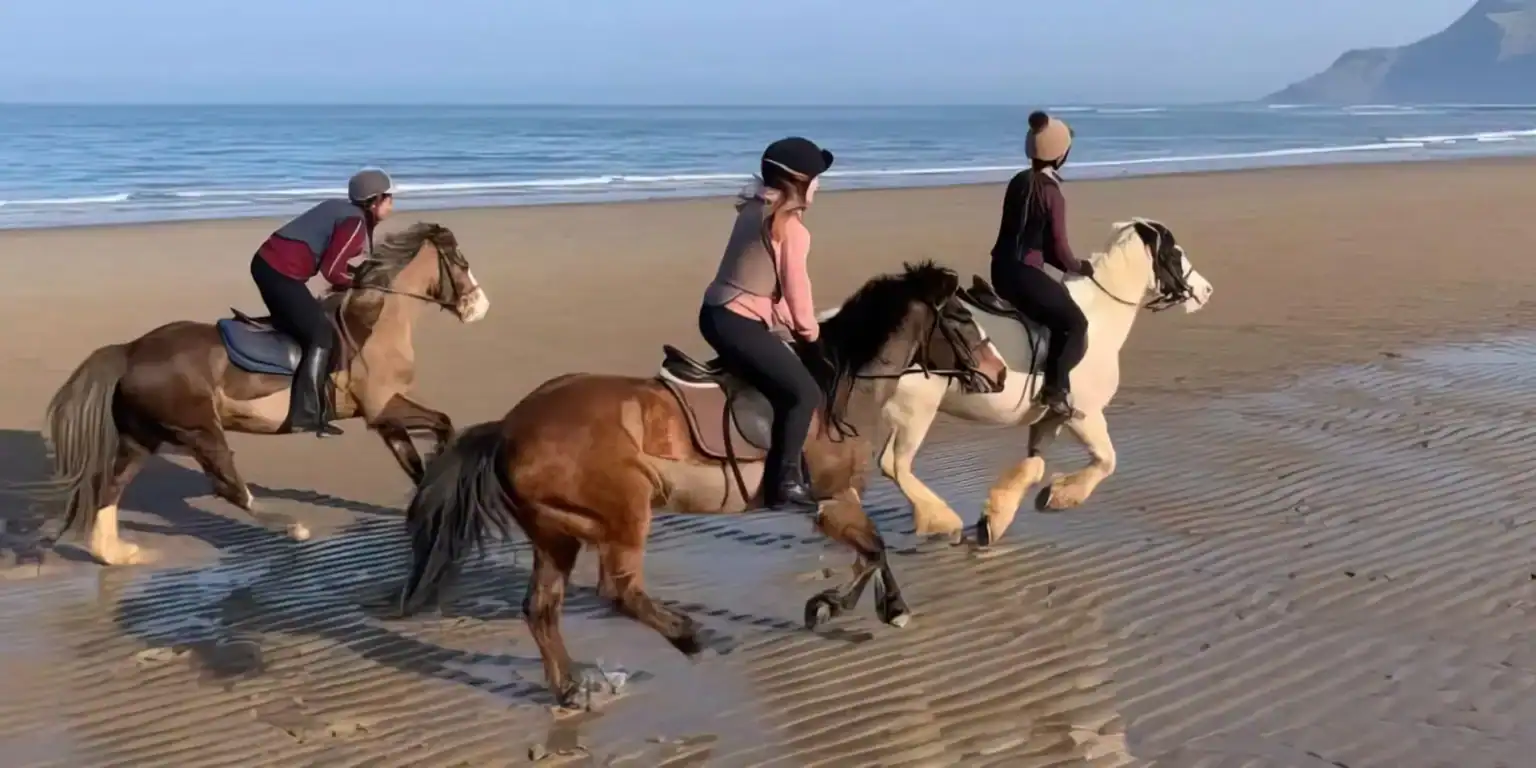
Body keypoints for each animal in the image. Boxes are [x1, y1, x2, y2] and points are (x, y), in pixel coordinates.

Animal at [35, 222, 490, 566]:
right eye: (462, 263)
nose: (479, 307)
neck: (375, 321)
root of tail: (131, 350)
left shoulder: (383, 417)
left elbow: (413, 461)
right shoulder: (385, 408)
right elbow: (443, 424)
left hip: (143, 437)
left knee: (111, 486)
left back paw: (114, 553)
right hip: (199, 431)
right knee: (228, 489)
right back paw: (293, 526)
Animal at [396, 261, 1008, 707]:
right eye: (961, 321)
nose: (999, 373)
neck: (840, 389)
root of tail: (510, 426)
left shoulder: (839, 500)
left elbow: (871, 550)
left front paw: (840, 606)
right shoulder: (830, 498)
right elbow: (874, 547)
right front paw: (872, 608)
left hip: (556, 533)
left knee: (541, 608)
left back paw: (571, 688)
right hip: (623, 513)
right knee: (618, 590)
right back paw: (691, 637)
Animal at [868, 218, 1215, 545]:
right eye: (1175, 253)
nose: (1207, 290)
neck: (1099, 318)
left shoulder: (1050, 418)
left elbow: (1034, 466)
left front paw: (996, 519)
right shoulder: (1085, 415)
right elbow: (1107, 461)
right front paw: (1060, 497)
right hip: (917, 411)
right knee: (895, 465)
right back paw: (943, 520)